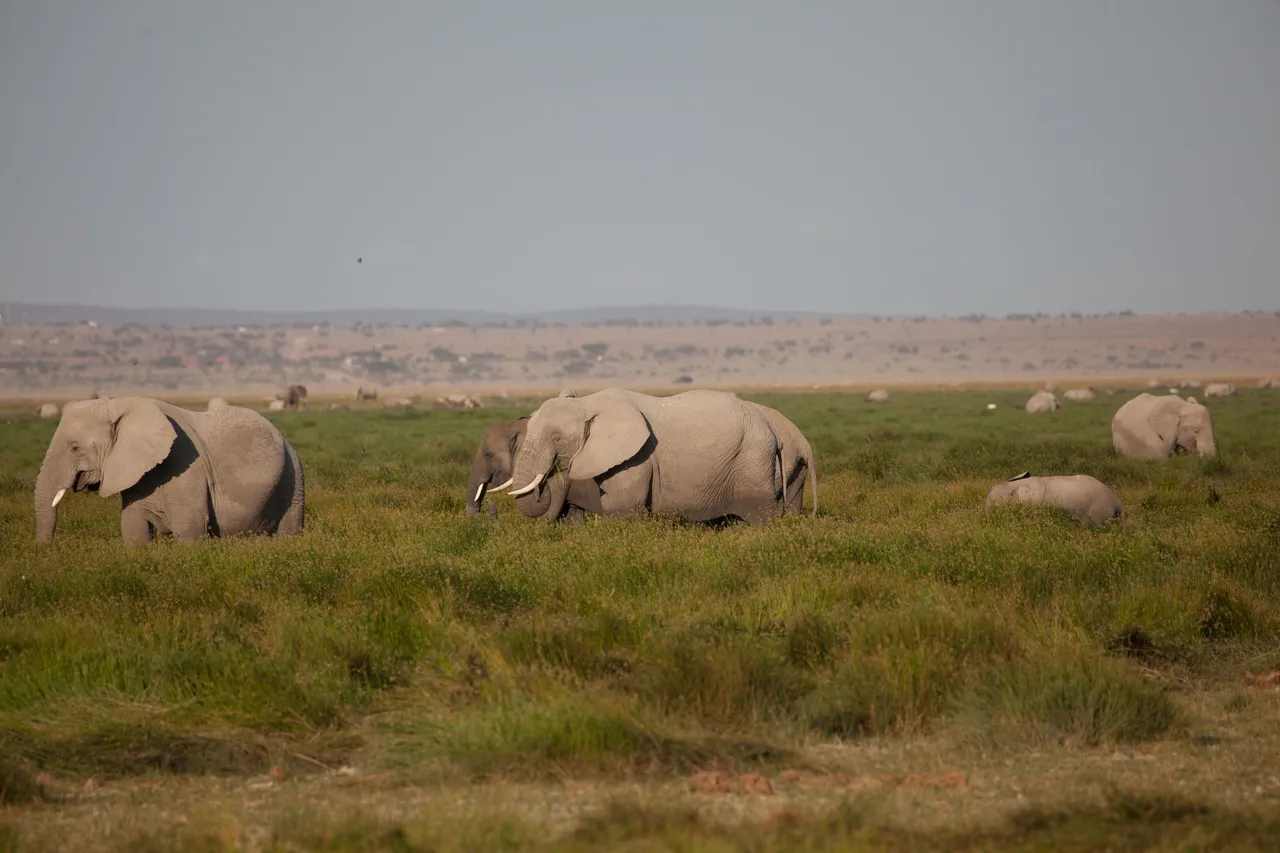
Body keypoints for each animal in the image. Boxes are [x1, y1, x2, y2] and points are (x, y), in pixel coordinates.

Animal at [34, 394, 304, 540]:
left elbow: (190, 529)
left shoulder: (187, 469)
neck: (122, 405)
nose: (44, 548)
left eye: (74, 448)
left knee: (288, 532)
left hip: (293, 477)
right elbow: (133, 529)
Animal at [504, 389, 783, 522]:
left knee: (760, 517)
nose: (550, 474)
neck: (587, 402)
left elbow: (621, 507)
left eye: (557, 439)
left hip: (752, 458)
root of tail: (771, 428)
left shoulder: (637, 458)